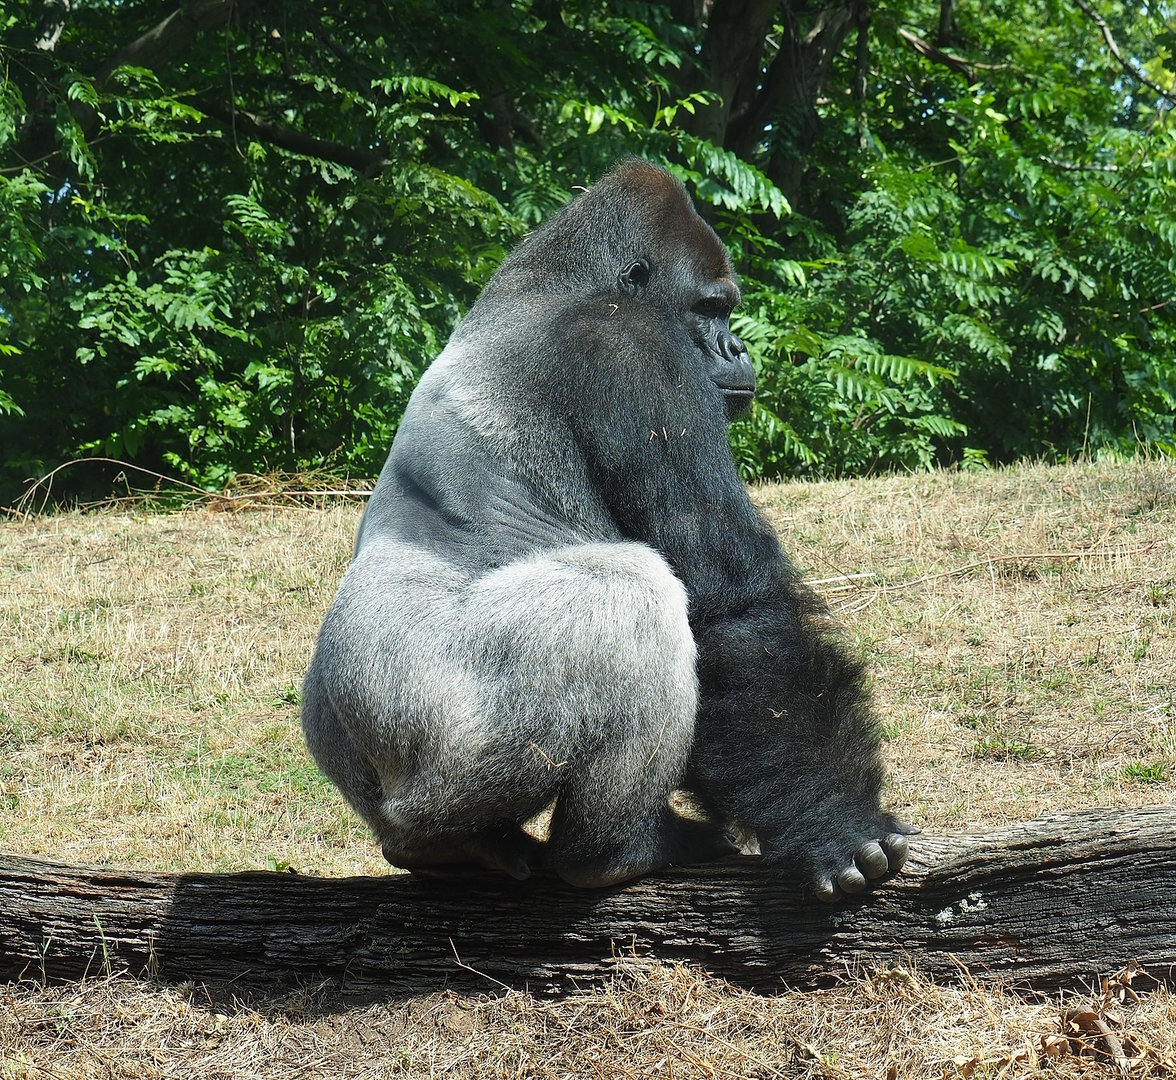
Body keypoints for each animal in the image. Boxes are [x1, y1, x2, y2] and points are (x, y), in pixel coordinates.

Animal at [301, 159, 914, 898]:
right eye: (709, 309)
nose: (735, 346)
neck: (553, 282)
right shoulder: (633, 347)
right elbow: (731, 606)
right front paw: (835, 821)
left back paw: (462, 851)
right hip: (445, 748)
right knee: (634, 591)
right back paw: (613, 849)